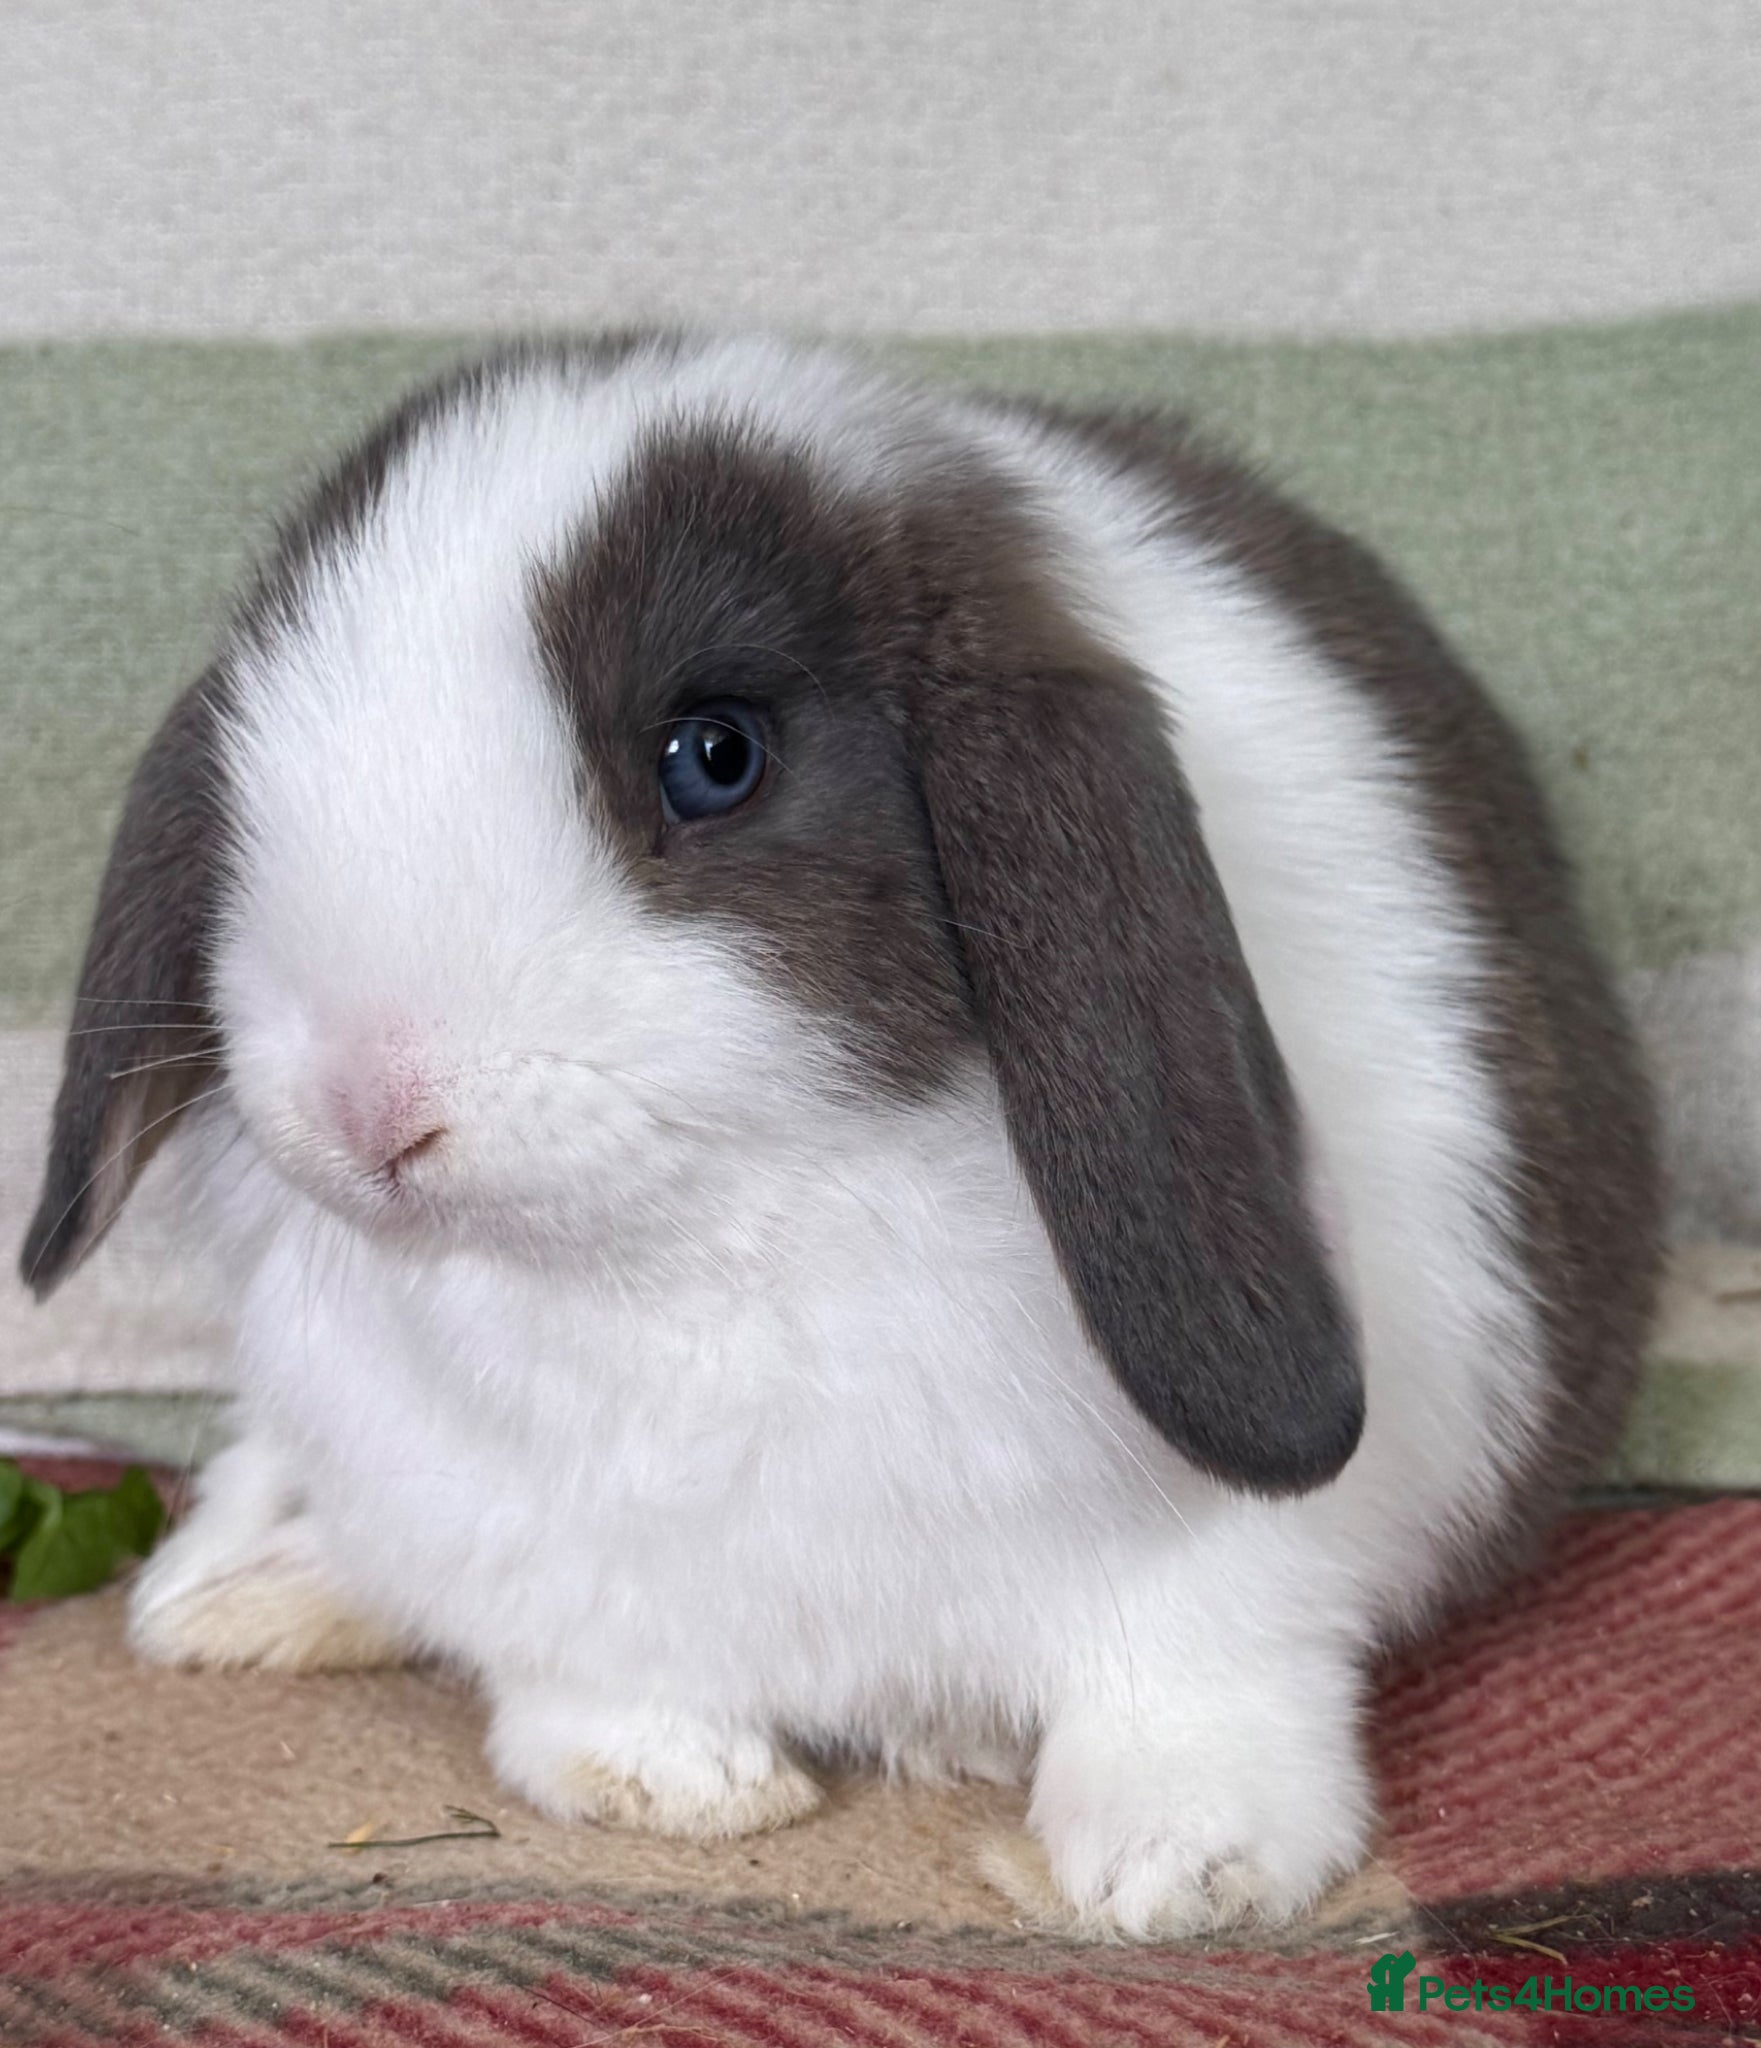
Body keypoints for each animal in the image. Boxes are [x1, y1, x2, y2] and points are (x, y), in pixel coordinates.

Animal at [20, 333, 1660, 1940]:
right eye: (255, 735)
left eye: (714, 754)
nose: (366, 1104)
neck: (702, 1250)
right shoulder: (544, 1562)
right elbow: (585, 1688)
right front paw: (676, 1784)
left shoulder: (1235, 1576)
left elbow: (1193, 1683)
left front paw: (1184, 1870)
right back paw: (231, 1595)